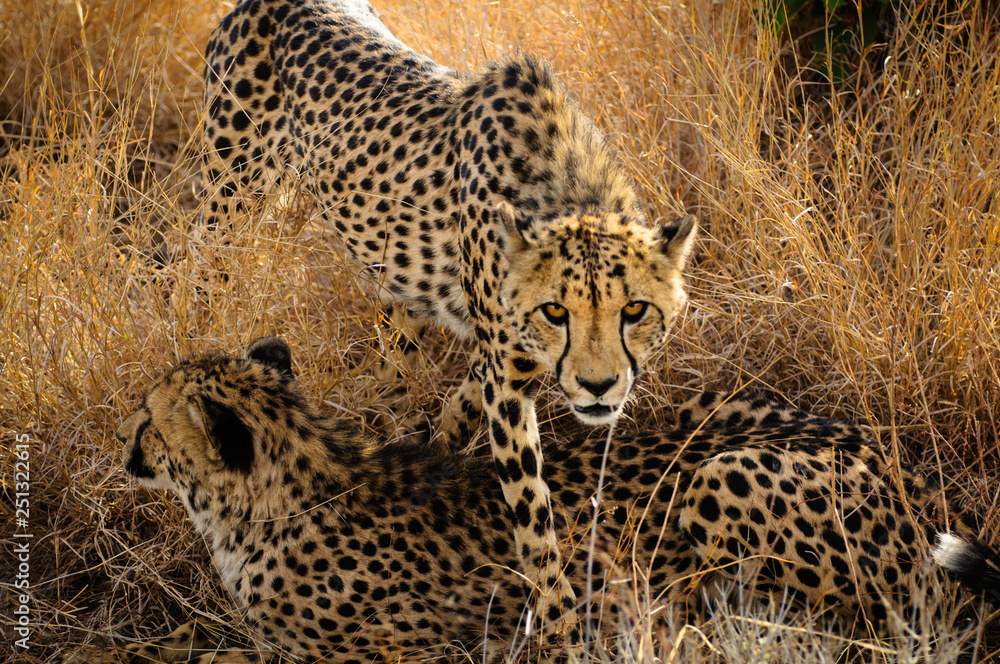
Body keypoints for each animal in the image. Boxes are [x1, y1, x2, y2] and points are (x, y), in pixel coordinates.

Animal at [64, 337, 1000, 663]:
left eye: (148, 416)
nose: (124, 443)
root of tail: (899, 471)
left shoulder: (396, 653)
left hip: (714, 479)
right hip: (722, 412)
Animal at [198, 0, 697, 634]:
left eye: (634, 310)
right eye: (556, 311)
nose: (598, 386)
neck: (562, 190)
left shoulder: (503, 361)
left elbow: (463, 408)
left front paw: (437, 449)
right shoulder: (508, 377)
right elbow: (530, 510)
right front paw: (557, 619)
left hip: (393, 281)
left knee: (394, 354)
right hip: (232, 197)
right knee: (195, 274)